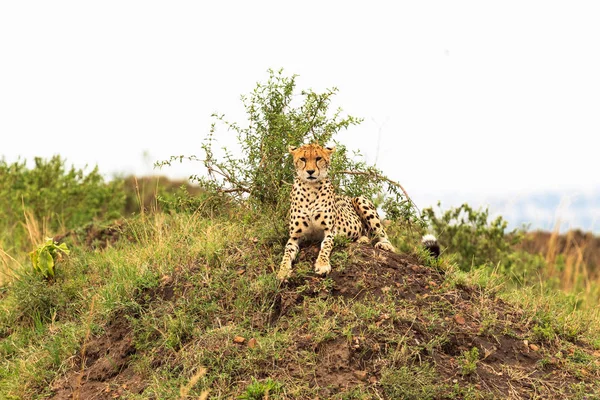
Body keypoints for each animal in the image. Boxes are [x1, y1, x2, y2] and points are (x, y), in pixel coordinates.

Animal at [278, 142, 398, 280]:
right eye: (303, 159)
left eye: (318, 158)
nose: (310, 171)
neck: (311, 188)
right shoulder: (294, 236)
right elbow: (287, 253)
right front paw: (282, 271)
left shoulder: (329, 230)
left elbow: (325, 247)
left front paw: (322, 265)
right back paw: (362, 239)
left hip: (360, 199)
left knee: (382, 233)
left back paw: (385, 245)